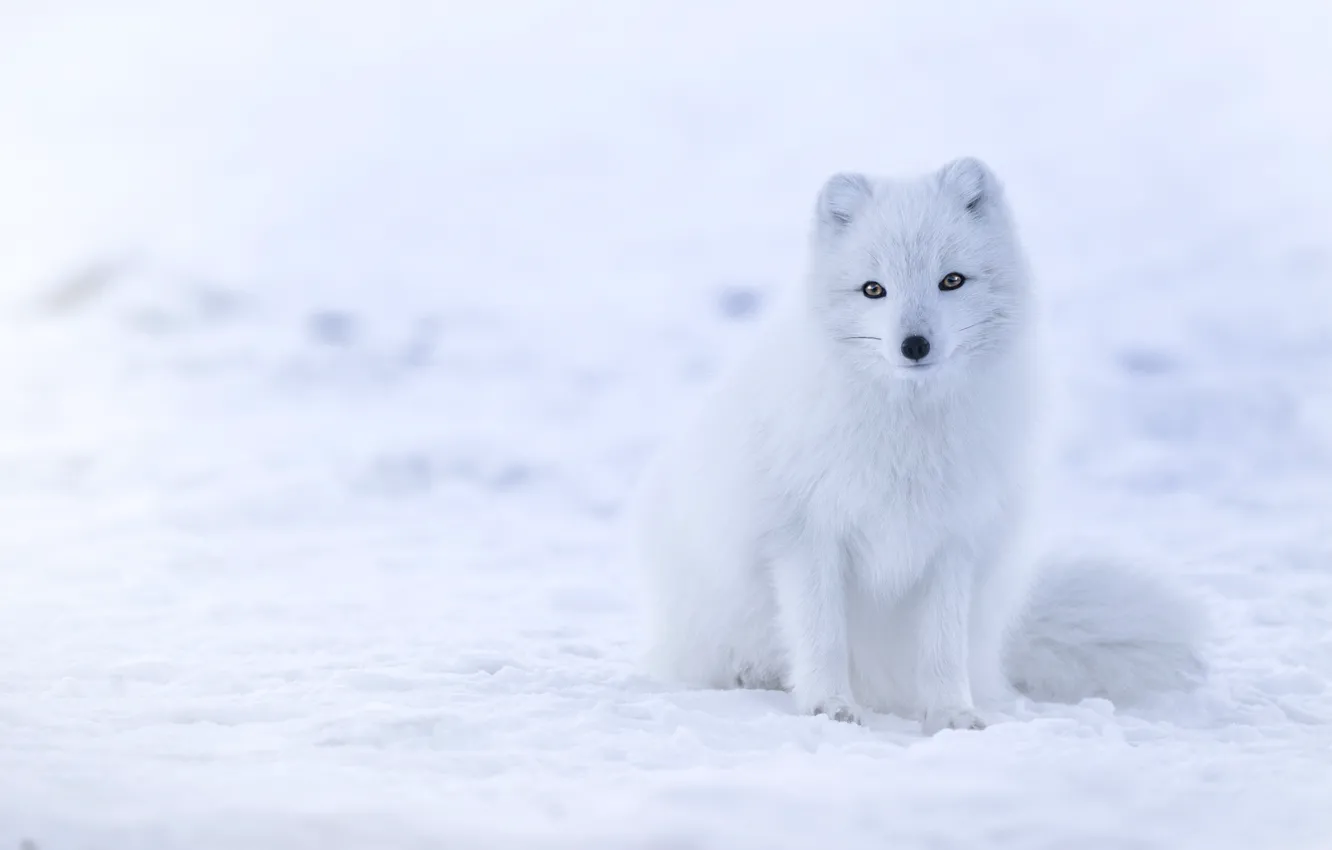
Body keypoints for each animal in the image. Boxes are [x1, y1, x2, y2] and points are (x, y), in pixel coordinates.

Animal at [628, 158, 1205, 734]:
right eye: (873, 290)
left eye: (951, 280)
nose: (914, 345)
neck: (909, 431)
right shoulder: (805, 535)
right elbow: (821, 636)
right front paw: (829, 706)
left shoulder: (953, 541)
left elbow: (942, 648)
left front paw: (953, 714)